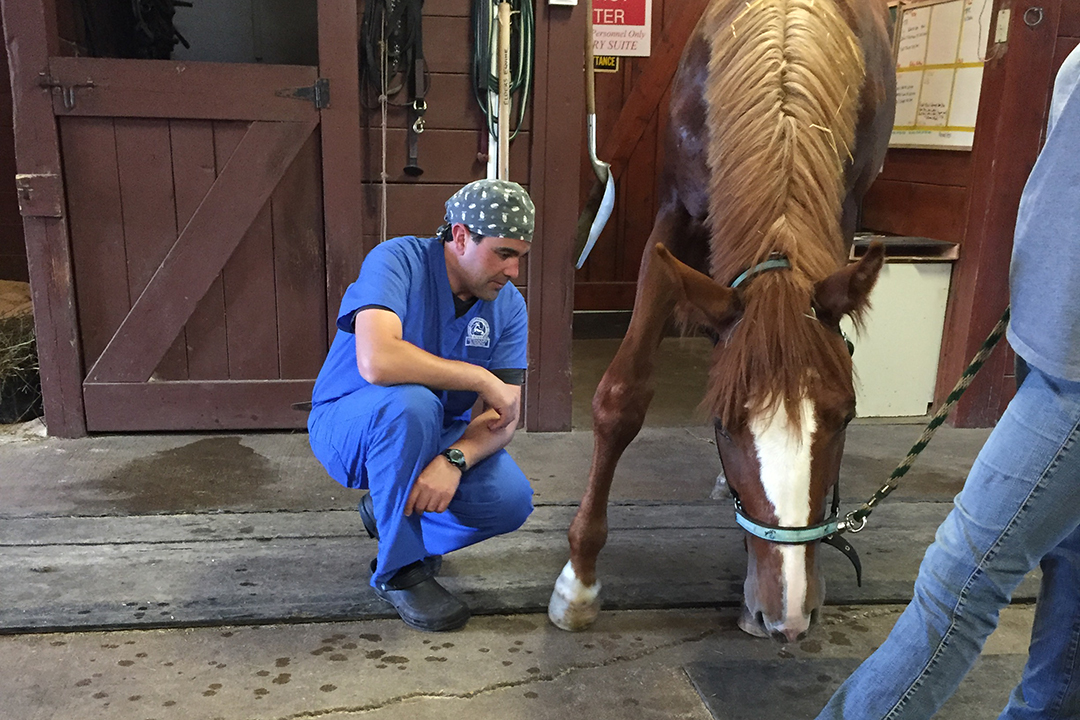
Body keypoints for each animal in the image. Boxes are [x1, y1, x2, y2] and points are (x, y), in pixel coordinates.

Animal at [548, 0, 894, 643]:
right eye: (722, 424)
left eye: (846, 417)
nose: (788, 616)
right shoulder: (673, 218)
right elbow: (621, 398)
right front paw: (577, 584)